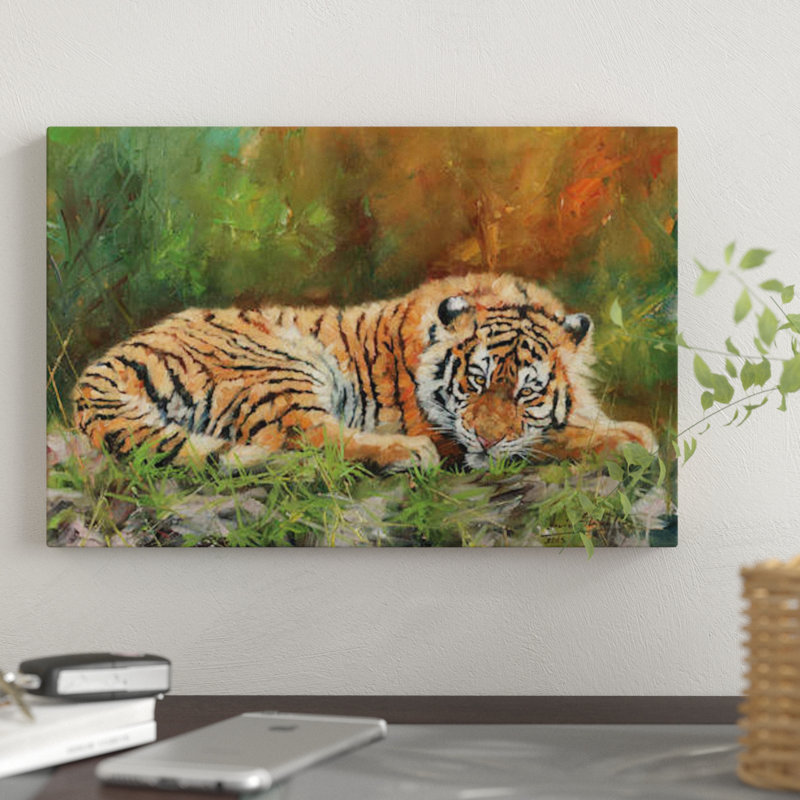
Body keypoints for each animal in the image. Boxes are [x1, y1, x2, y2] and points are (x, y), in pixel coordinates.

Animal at [72, 273, 655, 473]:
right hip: (283, 364)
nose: (487, 441)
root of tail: (102, 367)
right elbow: (552, 439)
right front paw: (635, 440)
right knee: (310, 440)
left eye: (528, 392)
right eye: (476, 381)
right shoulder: (449, 434)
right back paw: (403, 454)